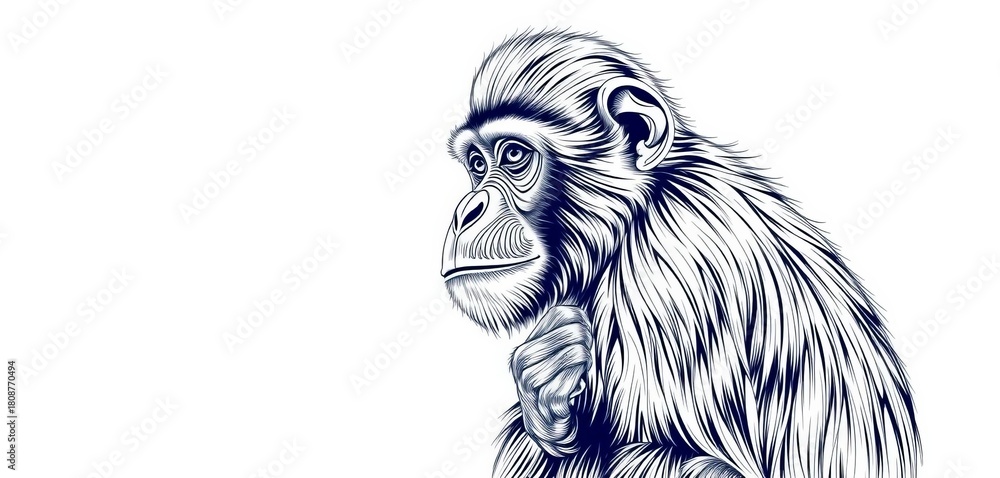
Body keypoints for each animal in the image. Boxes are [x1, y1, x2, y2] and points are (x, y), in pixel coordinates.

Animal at [439, 30, 919, 478]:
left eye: (514, 155)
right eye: (478, 165)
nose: (467, 210)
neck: (637, 212)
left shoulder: (668, 283)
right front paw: (541, 381)